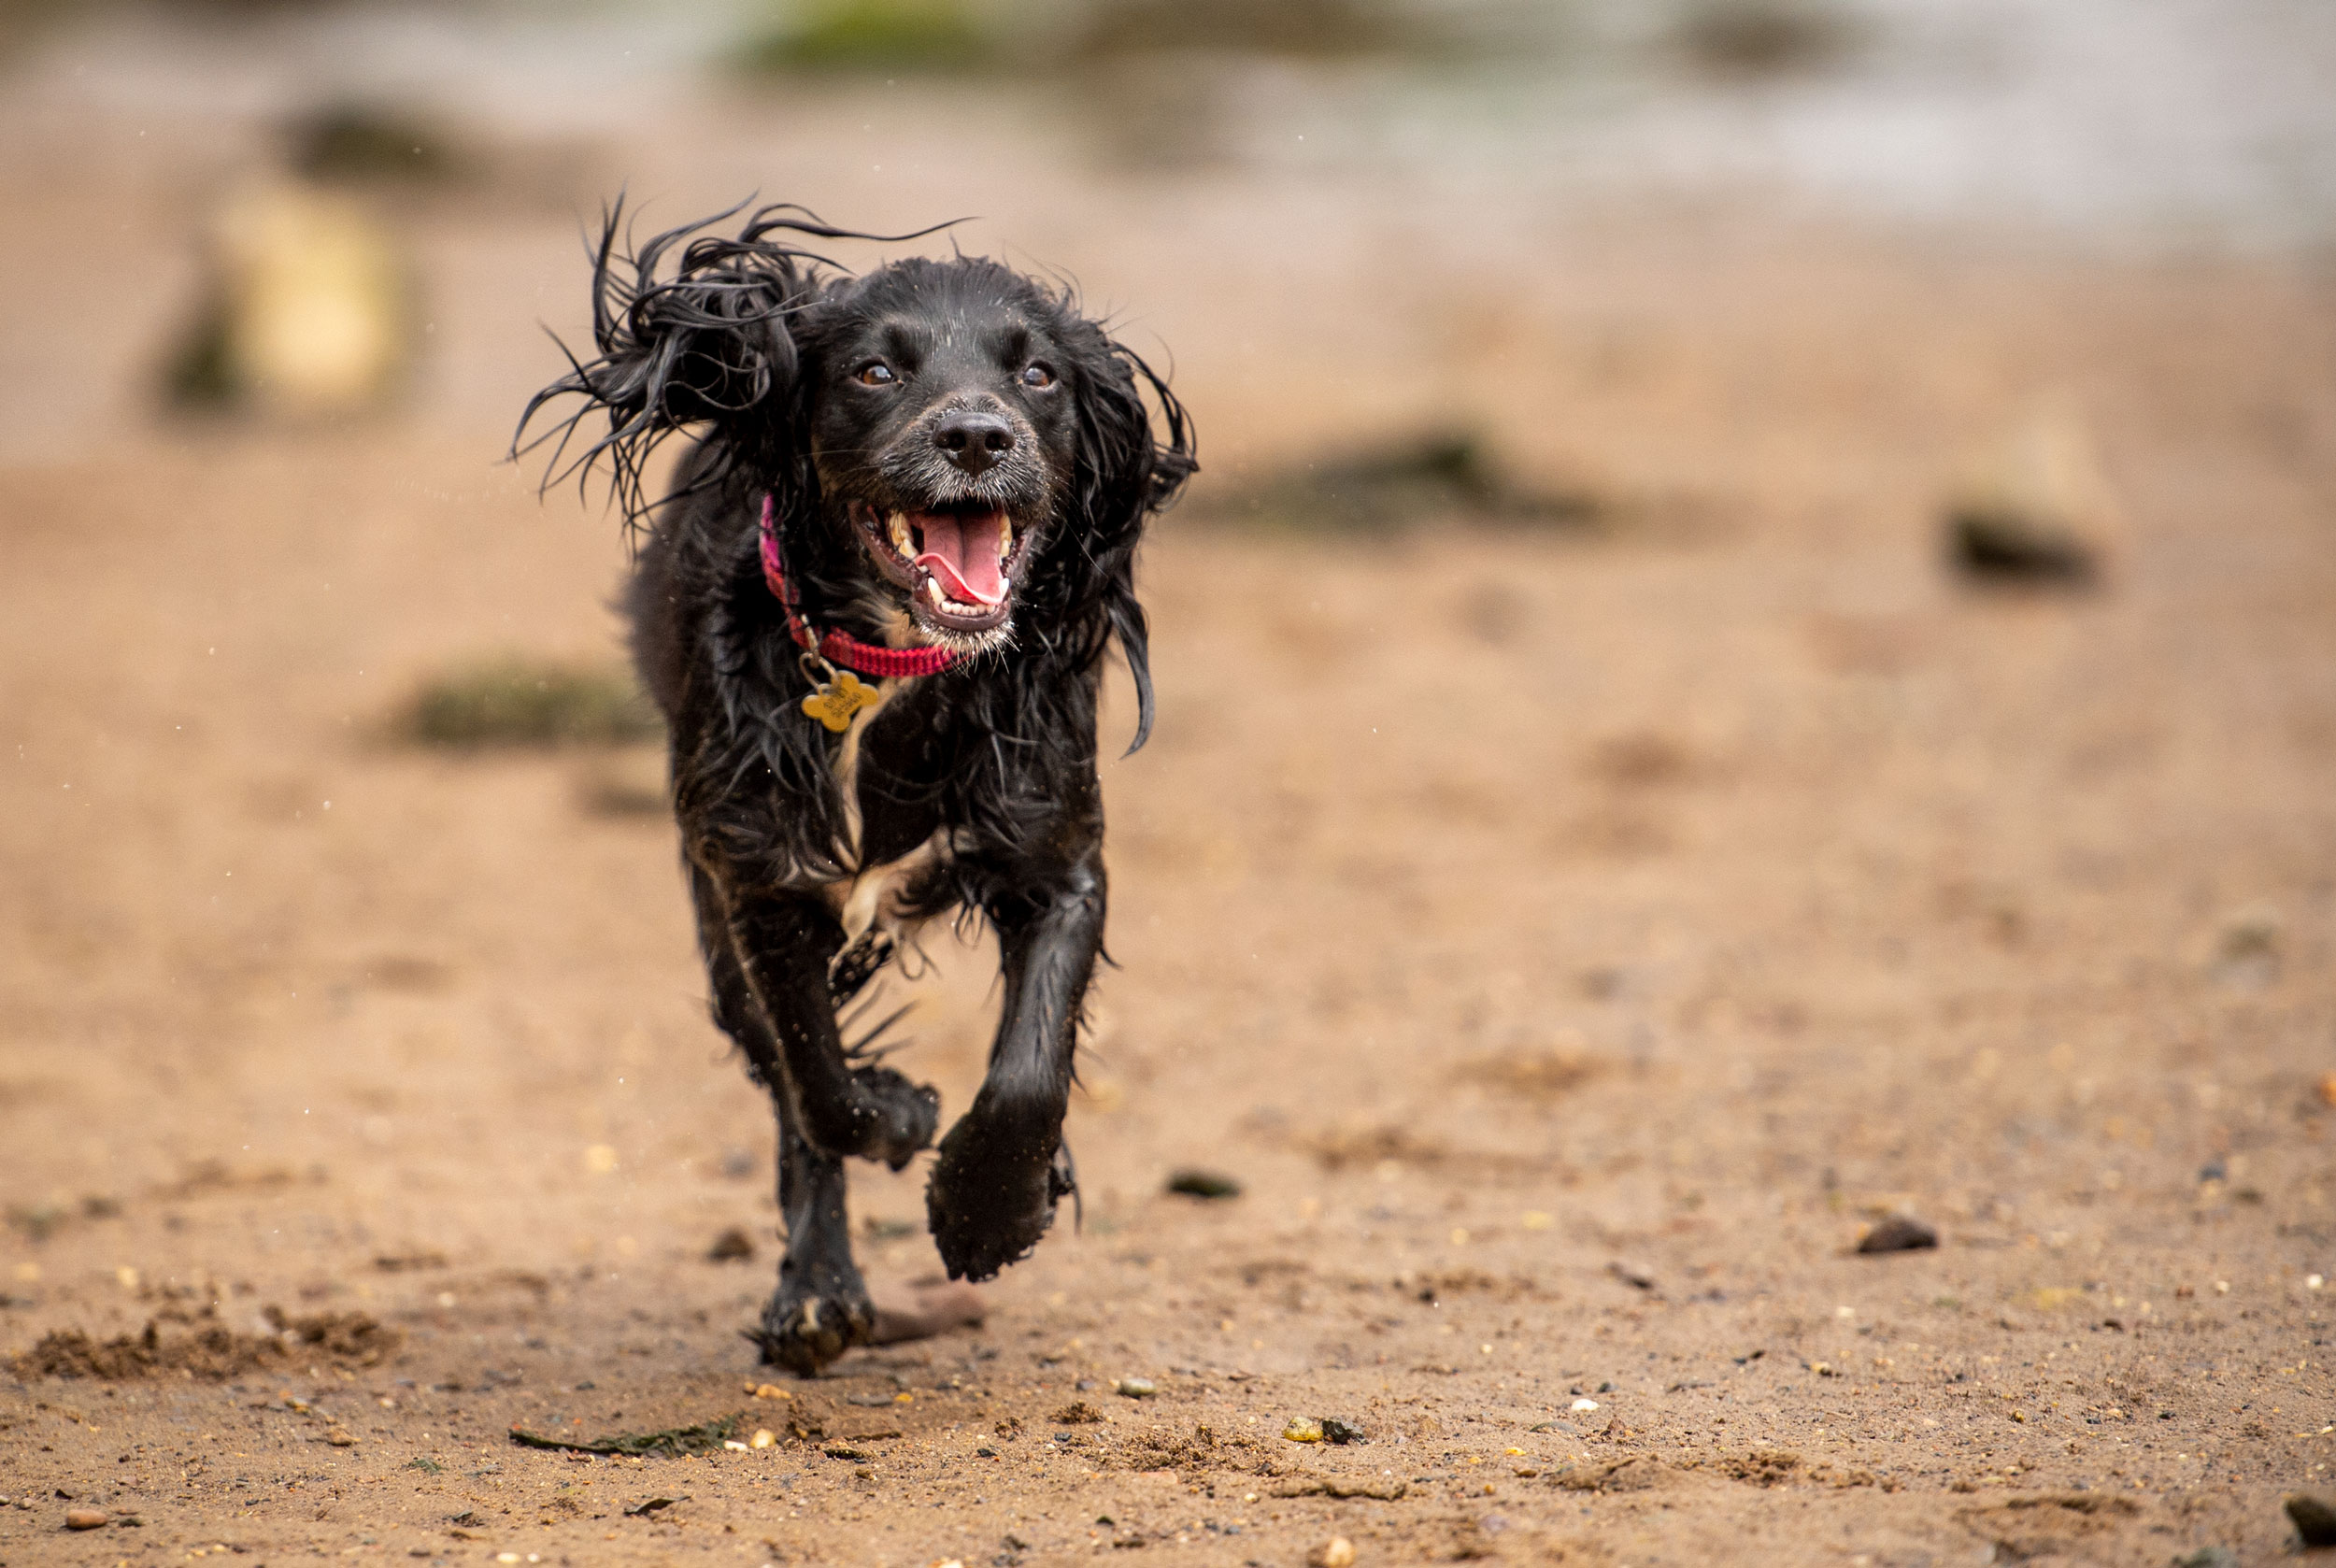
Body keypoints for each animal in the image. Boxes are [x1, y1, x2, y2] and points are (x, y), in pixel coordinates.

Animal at [520, 206, 1196, 1374]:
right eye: (875, 369)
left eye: (1039, 374)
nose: (976, 436)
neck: (889, 670)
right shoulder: (760, 884)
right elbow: (821, 1089)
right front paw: (900, 1116)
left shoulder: (1056, 859)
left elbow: (1029, 1067)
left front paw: (990, 1209)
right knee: (785, 1081)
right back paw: (817, 1292)